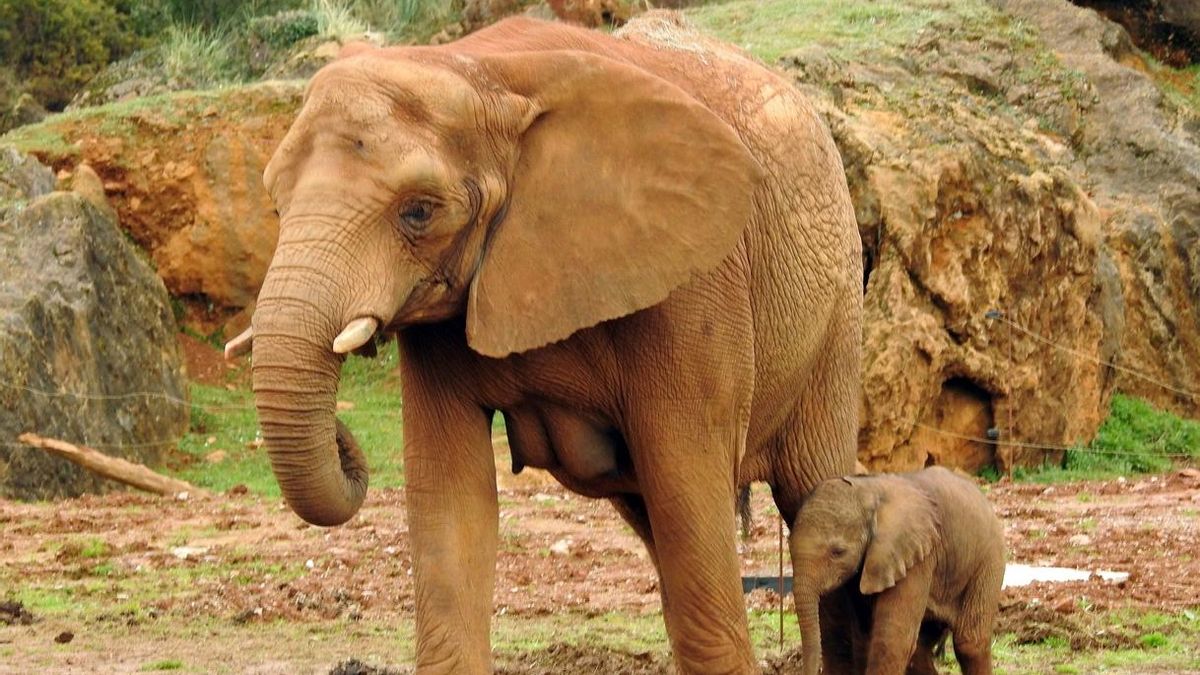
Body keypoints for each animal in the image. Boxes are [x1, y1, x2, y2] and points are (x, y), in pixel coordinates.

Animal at [226, 12, 862, 673]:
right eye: (276, 203)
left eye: (419, 211)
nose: (343, 432)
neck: (479, 71)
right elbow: (451, 503)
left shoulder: (694, 283)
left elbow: (687, 490)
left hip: (836, 309)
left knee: (812, 493)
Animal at [788, 467, 1005, 675]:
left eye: (838, 552)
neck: (869, 491)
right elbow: (864, 636)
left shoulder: (917, 556)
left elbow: (891, 641)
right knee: (920, 650)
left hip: (989, 560)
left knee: (969, 643)